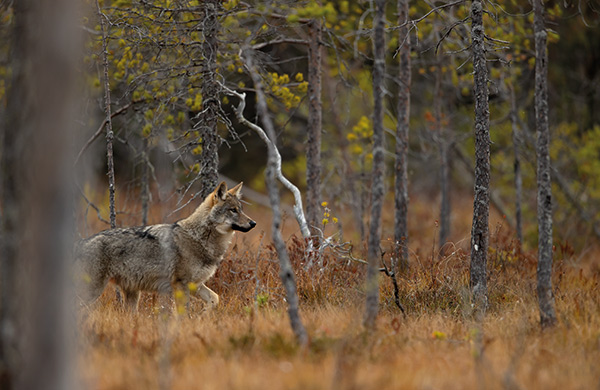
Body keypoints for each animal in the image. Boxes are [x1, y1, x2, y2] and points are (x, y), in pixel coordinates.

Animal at [75, 181, 255, 312]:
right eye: (233, 210)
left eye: (241, 209)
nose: (253, 223)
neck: (200, 239)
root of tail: (81, 242)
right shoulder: (181, 284)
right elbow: (184, 312)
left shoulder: (195, 284)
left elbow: (215, 298)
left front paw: (204, 315)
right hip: (93, 291)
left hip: (132, 295)